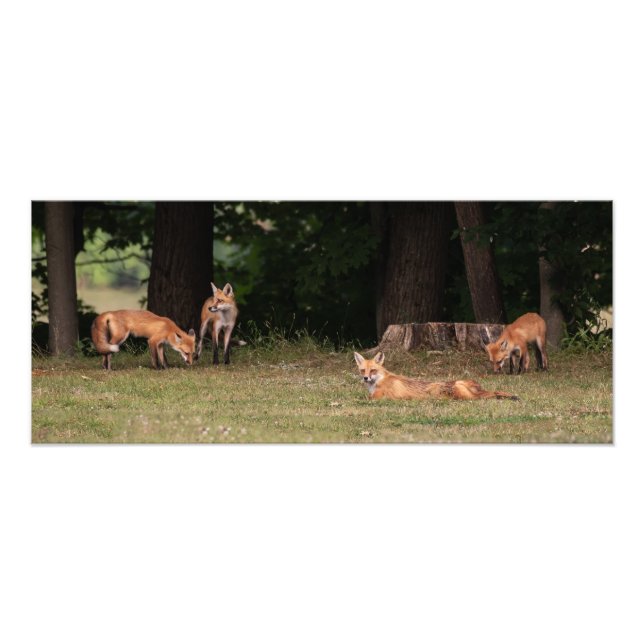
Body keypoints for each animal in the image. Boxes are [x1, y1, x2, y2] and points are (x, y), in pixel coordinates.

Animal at [354, 351, 518, 401]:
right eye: (363, 371)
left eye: (373, 370)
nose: (365, 378)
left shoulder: (376, 398)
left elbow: (361, 398)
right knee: (494, 392)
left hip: (462, 396)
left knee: (490, 395)